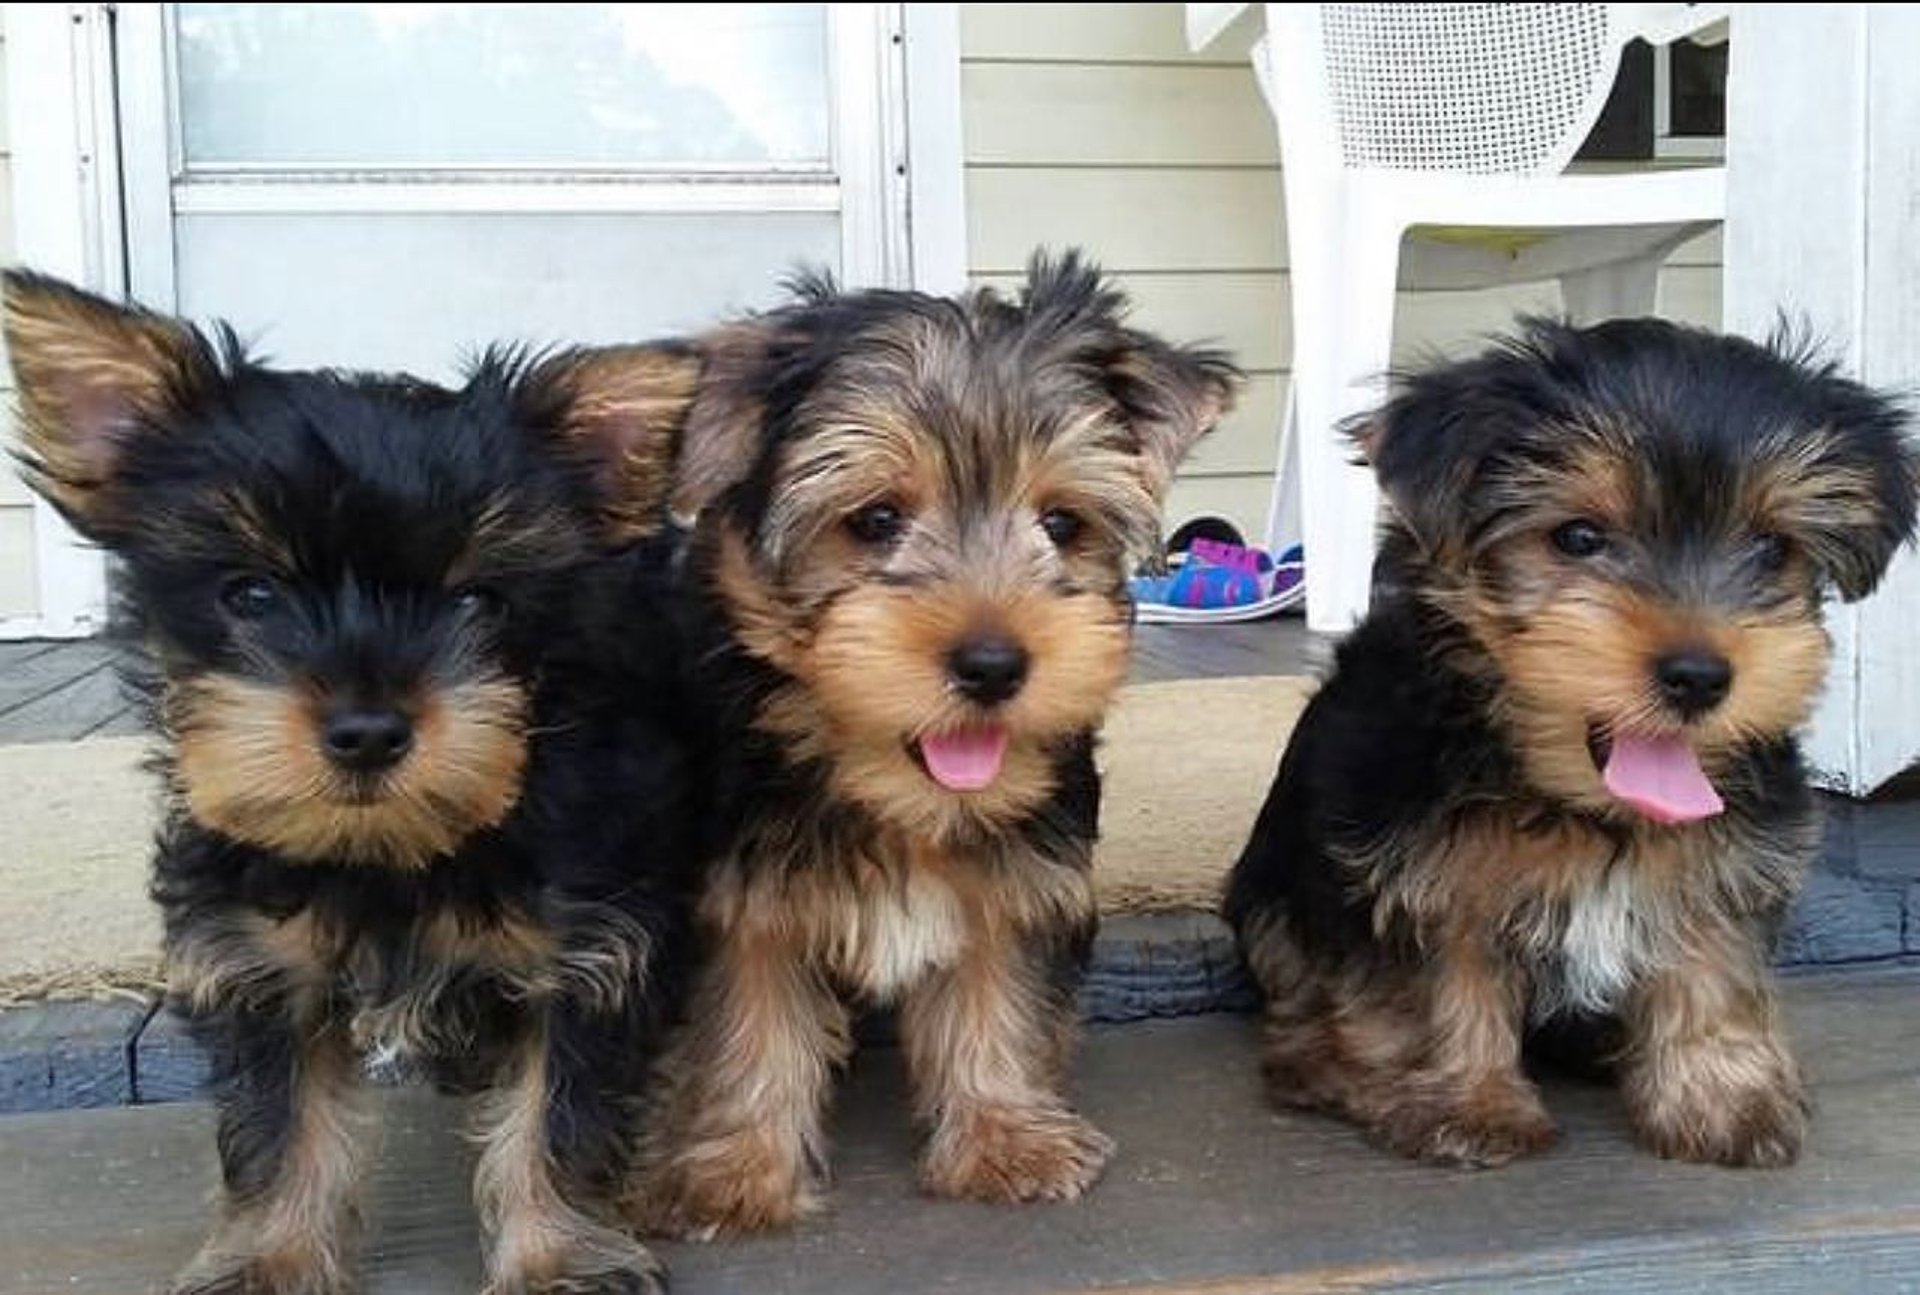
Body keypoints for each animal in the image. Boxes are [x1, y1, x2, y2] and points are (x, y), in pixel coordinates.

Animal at [622, 251, 1236, 1229]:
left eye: (1061, 524)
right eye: (874, 520)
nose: (992, 664)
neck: (899, 799)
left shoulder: (1021, 869)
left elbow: (997, 987)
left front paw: (1005, 1135)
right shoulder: (736, 881)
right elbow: (747, 1010)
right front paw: (730, 1168)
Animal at [1221, 315, 1912, 1168]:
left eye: (1770, 549)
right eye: (1578, 537)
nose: (1699, 675)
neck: (1580, 805)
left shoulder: (1732, 852)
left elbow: (1713, 958)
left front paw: (1723, 1095)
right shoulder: (1414, 859)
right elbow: (1439, 975)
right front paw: (1466, 1102)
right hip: (1272, 891)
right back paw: (1317, 1058)